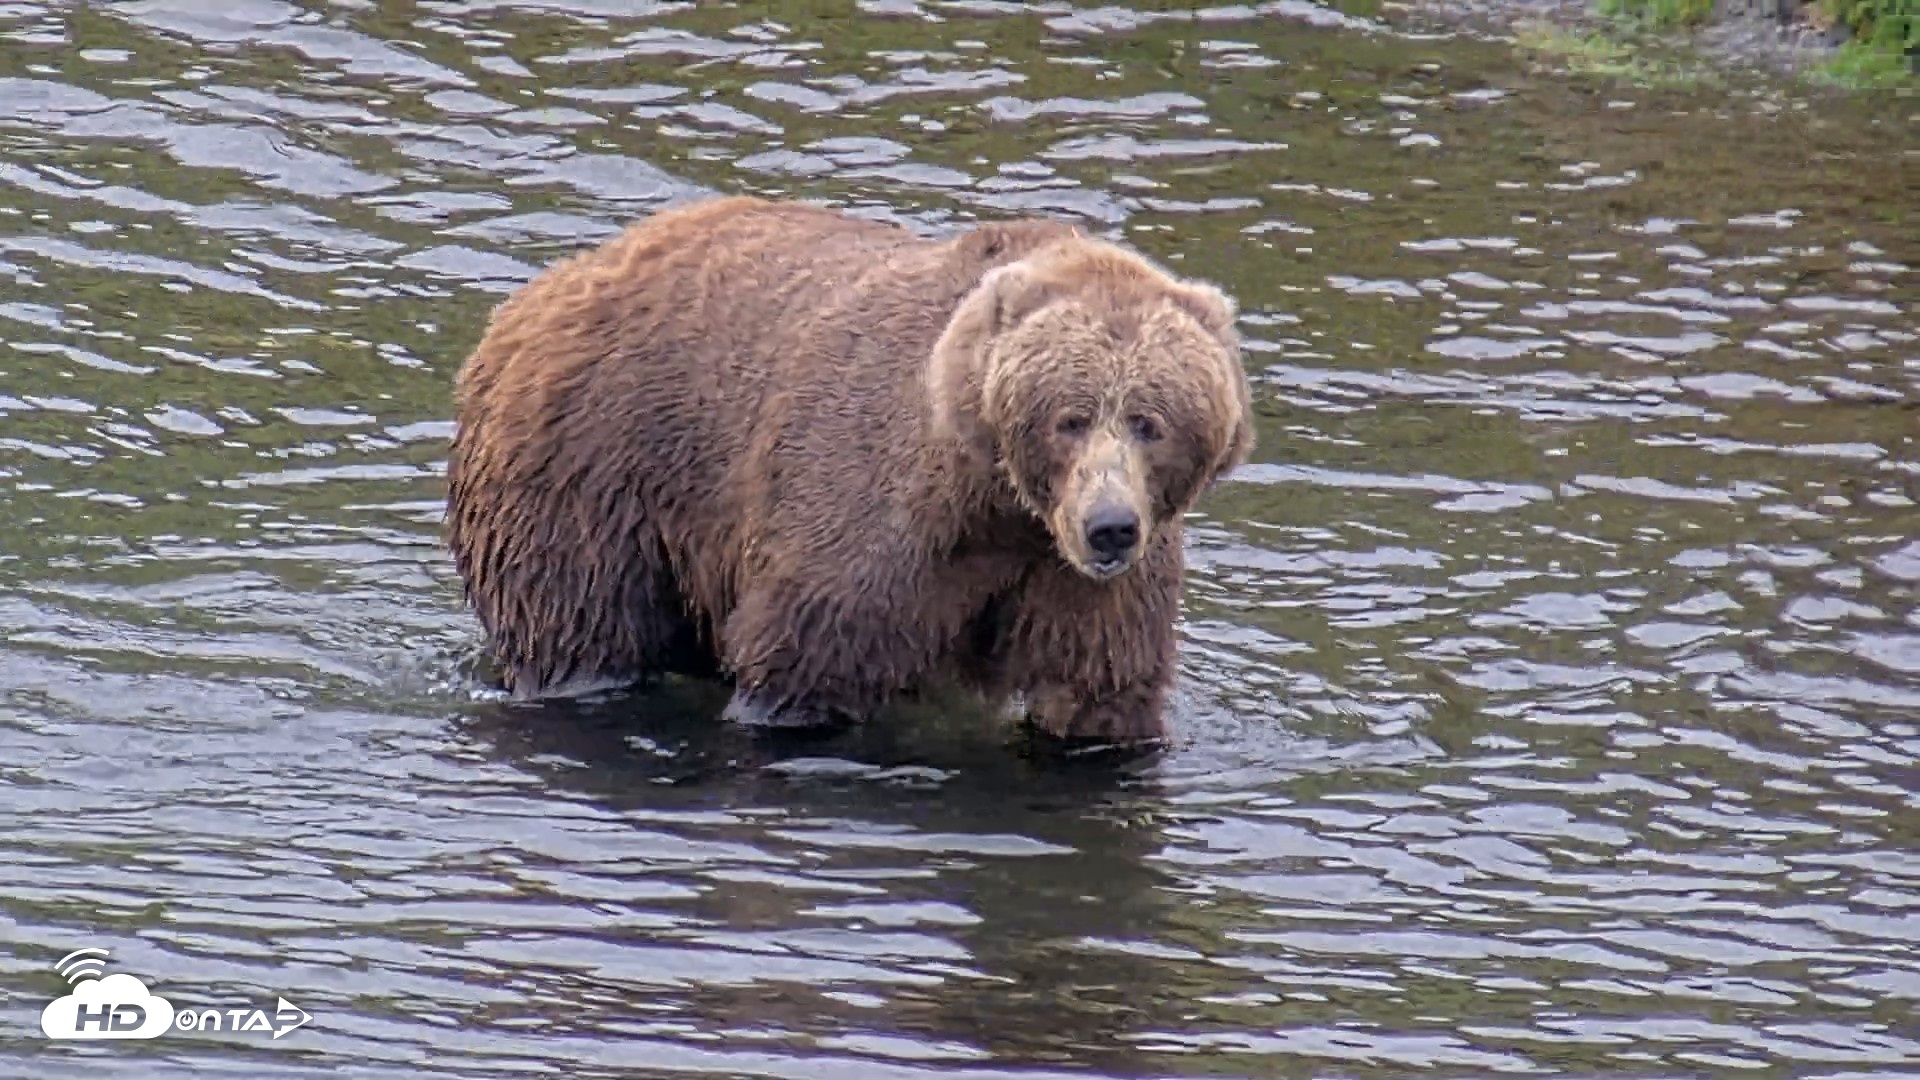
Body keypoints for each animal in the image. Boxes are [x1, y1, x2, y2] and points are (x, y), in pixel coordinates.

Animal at [444, 195, 1253, 744]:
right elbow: (805, 667)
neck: (995, 506)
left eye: (1150, 421)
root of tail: (550, 283)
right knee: (581, 627)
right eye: (1072, 417)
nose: (1109, 527)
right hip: (589, 472)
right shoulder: (868, 526)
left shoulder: (1084, 587)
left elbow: (1098, 691)